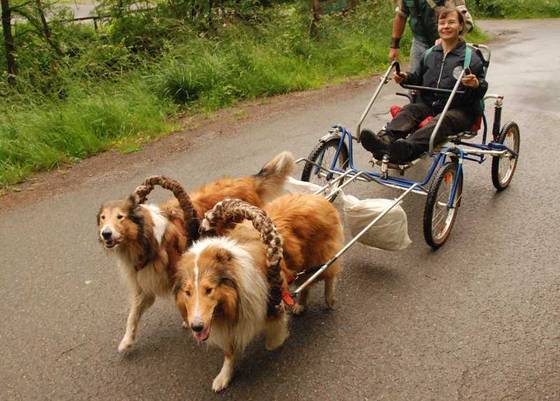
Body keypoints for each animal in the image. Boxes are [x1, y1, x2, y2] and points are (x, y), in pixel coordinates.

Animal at [97, 152, 294, 353]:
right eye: (103, 218)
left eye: (120, 217)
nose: (105, 234)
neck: (146, 239)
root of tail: (246, 181)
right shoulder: (145, 286)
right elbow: (133, 315)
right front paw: (126, 341)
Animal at [174, 193, 343, 391]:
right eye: (188, 292)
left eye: (209, 290)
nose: (196, 327)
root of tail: (318, 197)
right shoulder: (230, 326)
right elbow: (229, 354)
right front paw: (224, 377)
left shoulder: (271, 303)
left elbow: (273, 337)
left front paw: (277, 339)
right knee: (307, 284)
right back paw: (300, 304)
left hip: (318, 258)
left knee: (330, 271)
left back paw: (329, 299)